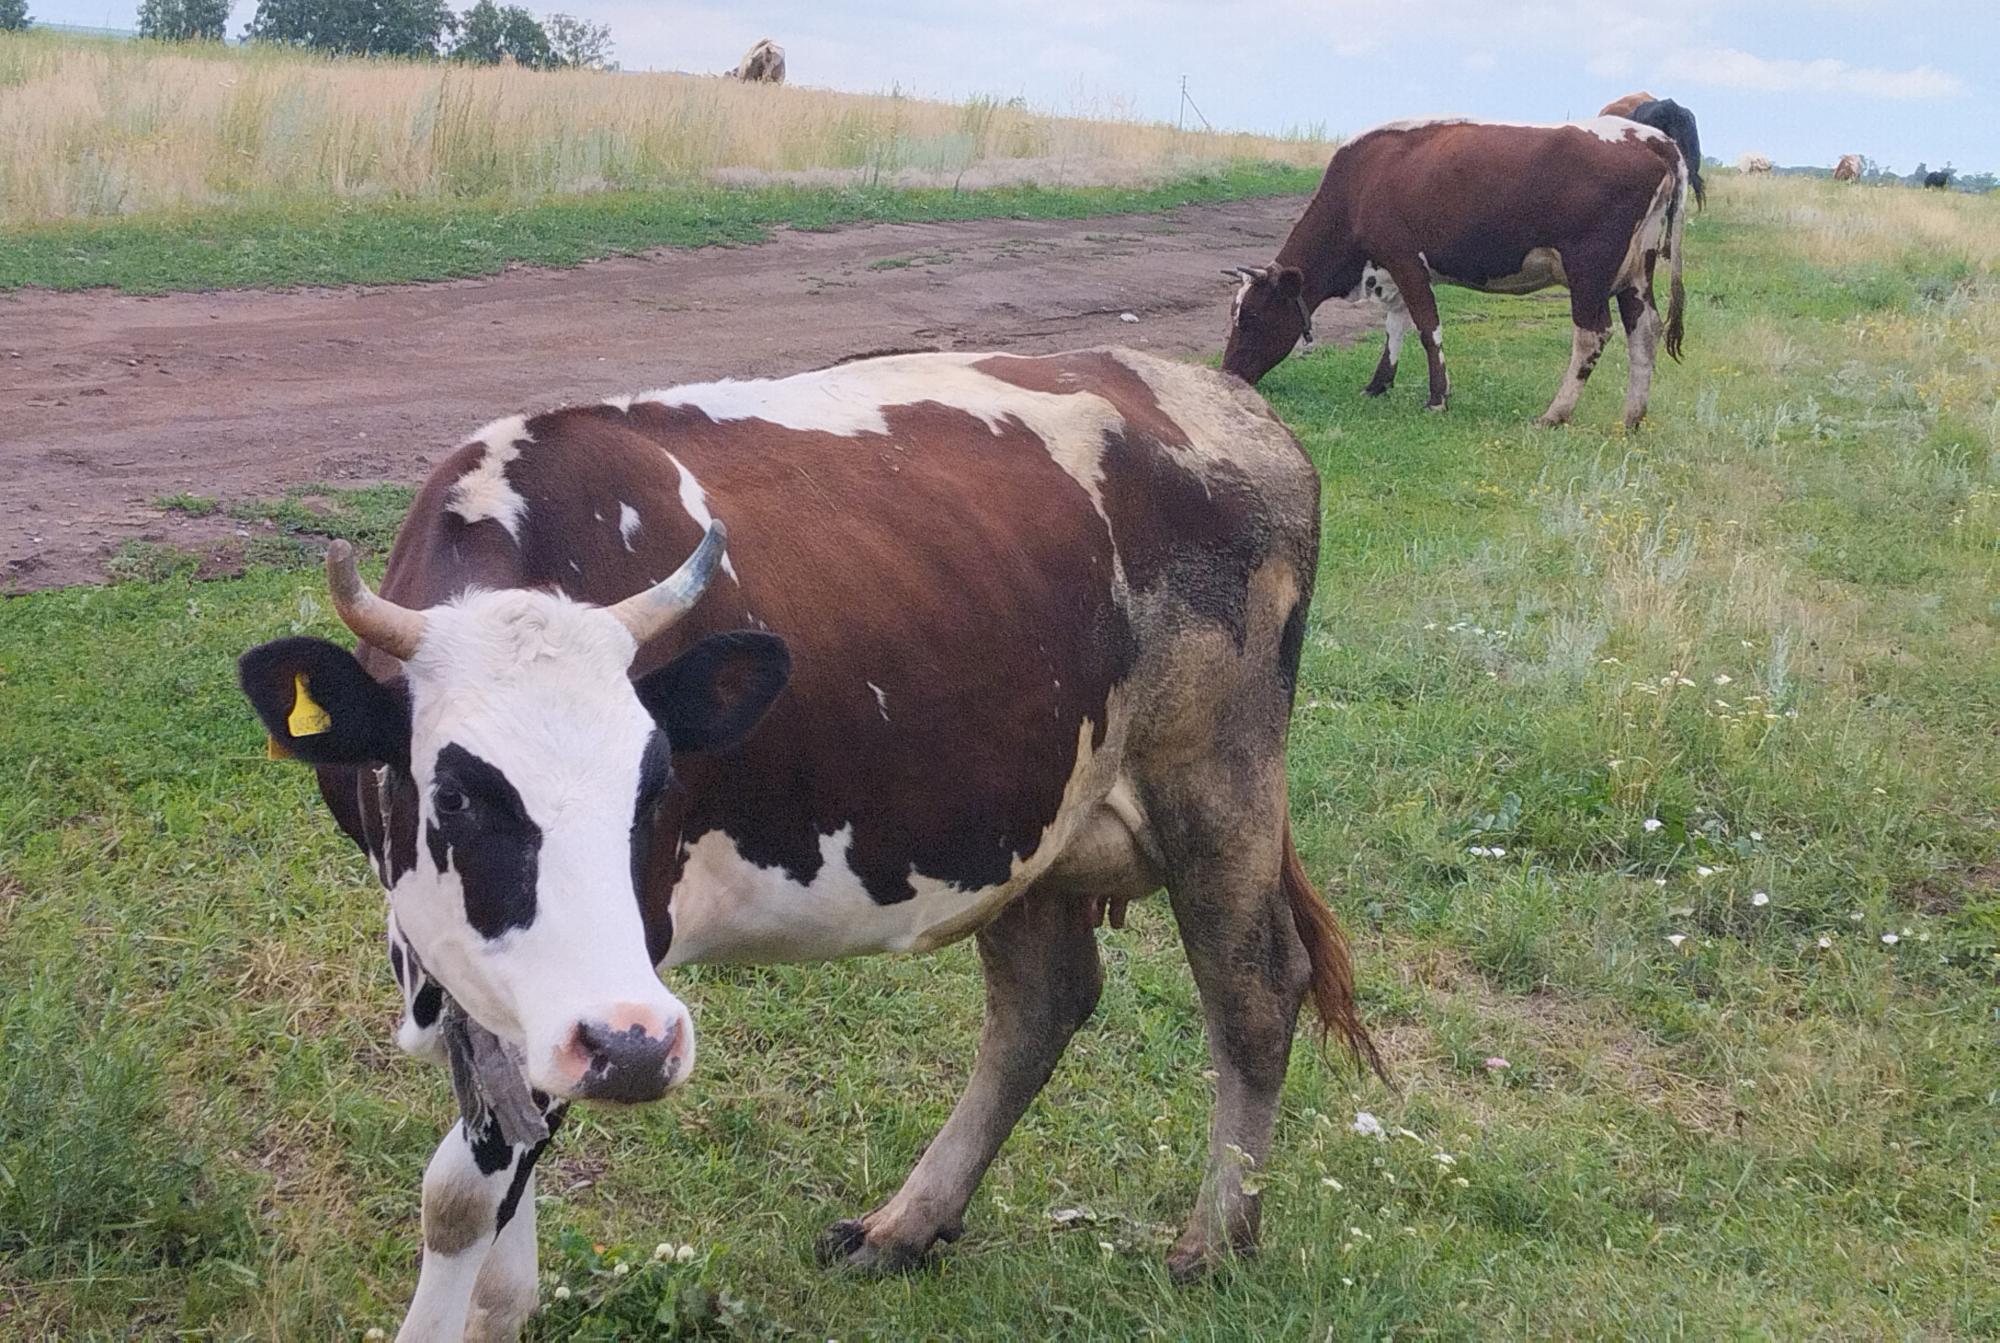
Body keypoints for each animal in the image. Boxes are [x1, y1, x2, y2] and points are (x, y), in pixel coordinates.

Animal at [1216, 117, 1688, 429]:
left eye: (1251, 317)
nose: (1228, 374)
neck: (1361, 181)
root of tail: (1651, 136)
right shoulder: (1392, 268)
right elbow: (1395, 327)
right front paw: (1378, 385)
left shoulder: (1405, 258)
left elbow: (1428, 328)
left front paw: (1438, 398)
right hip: (1635, 274)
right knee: (1644, 331)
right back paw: (1632, 419)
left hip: (1589, 271)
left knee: (1593, 334)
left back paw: (1554, 414)